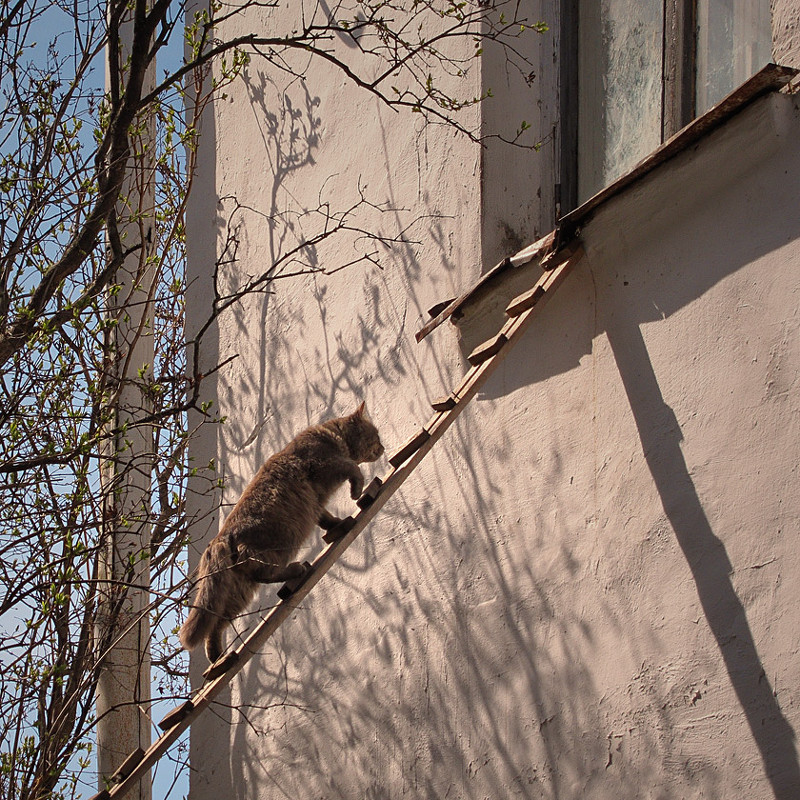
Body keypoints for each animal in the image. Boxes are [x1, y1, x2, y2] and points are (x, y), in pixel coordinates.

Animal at [179, 404, 384, 664]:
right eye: (376, 435)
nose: (383, 446)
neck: (330, 436)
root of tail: (218, 540)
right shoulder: (327, 464)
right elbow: (354, 468)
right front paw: (356, 493)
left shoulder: (316, 504)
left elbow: (327, 519)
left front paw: (340, 523)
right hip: (279, 546)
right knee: (264, 574)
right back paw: (297, 569)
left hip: (239, 590)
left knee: (218, 623)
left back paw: (219, 658)